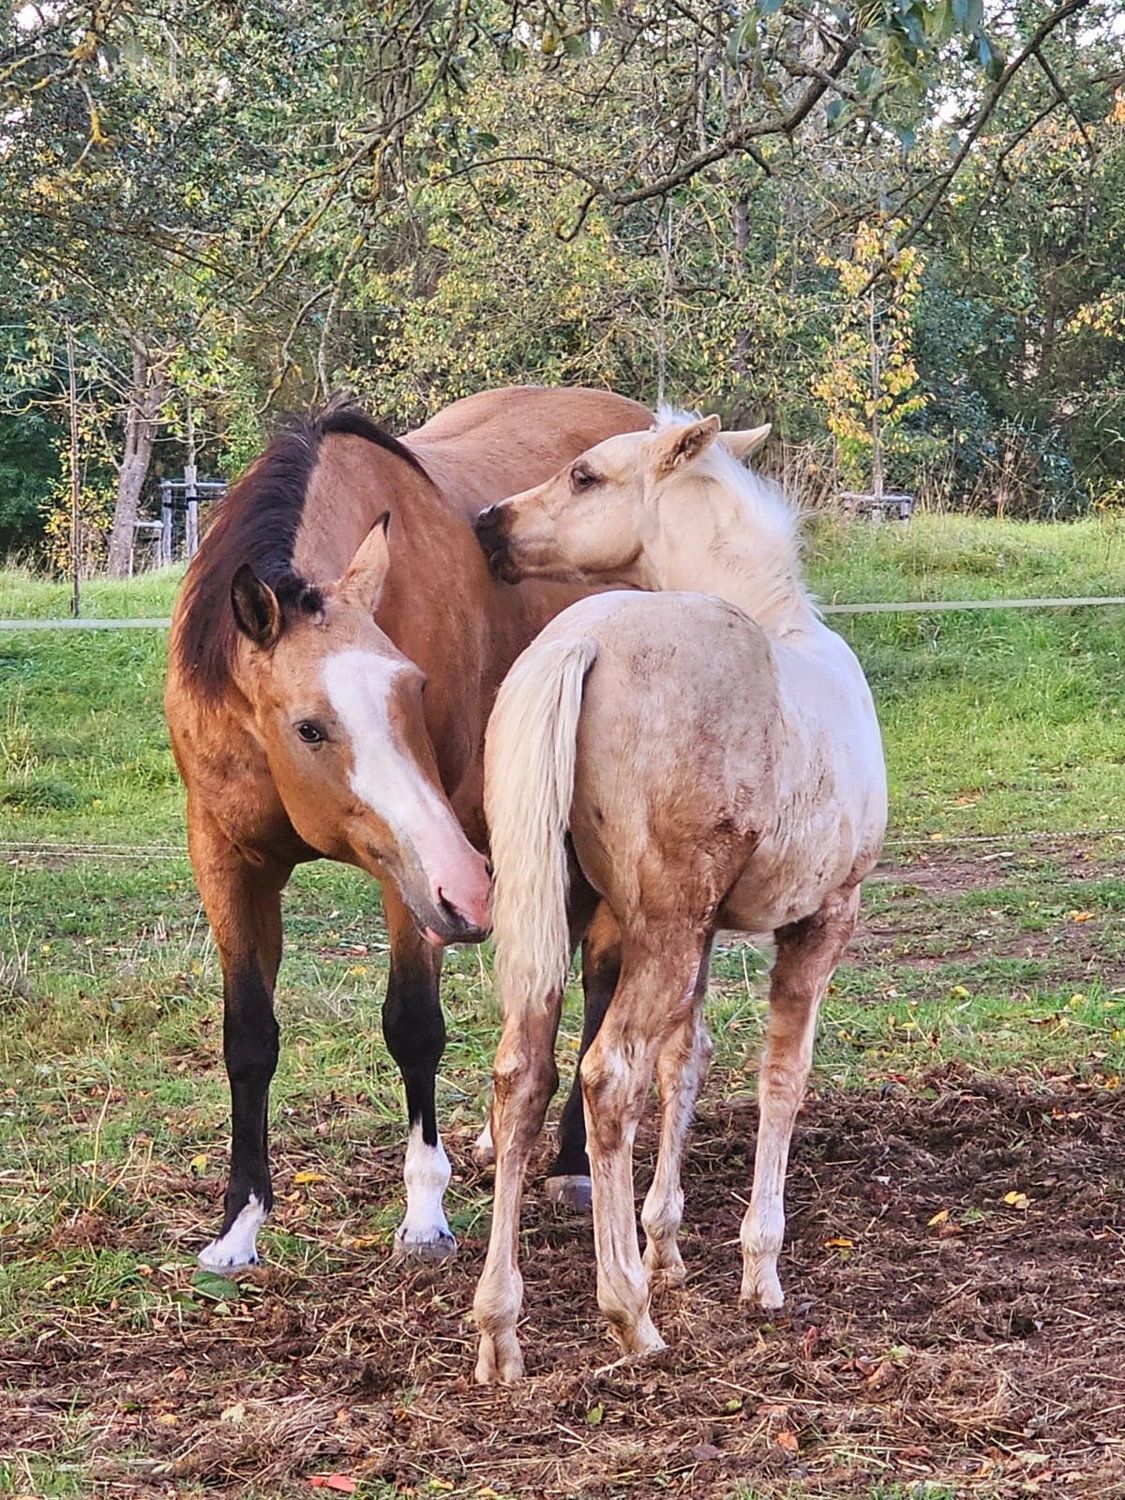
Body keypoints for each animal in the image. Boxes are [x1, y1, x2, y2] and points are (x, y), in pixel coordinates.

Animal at [164, 384, 652, 1271]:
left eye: (415, 688)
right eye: (309, 727)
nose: (469, 890)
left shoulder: (419, 873)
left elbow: (414, 1027)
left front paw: (425, 1213)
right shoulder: (226, 859)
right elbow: (248, 1037)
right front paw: (238, 1224)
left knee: (600, 980)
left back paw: (570, 1163)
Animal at [471, 412, 887, 1381]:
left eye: (584, 476)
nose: (486, 524)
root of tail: (580, 640)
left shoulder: (701, 932)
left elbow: (686, 1063)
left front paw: (665, 1246)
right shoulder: (821, 919)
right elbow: (782, 1076)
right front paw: (755, 1272)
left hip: (576, 923)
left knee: (523, 1075)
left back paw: (499, 1330)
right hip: (660, 928)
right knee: (605, 1075)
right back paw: (627, 1314)